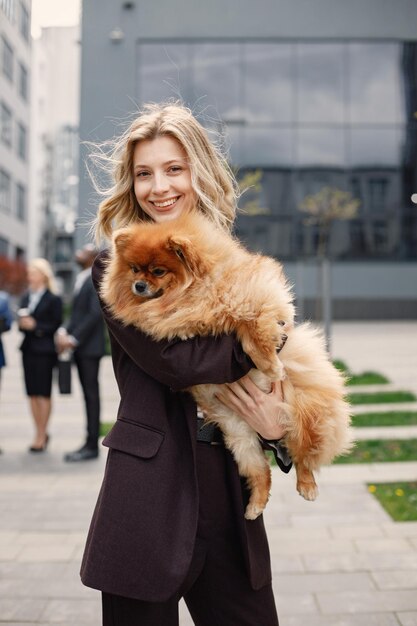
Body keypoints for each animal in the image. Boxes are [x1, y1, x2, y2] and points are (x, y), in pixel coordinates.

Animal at [100, 210, 352, 516]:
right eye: (135, 269)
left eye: (158, 271)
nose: (138, 285)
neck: (195, 288)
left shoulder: (253, 301)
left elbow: (252, 332)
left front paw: (270, 365)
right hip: (239, 438)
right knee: (262, 472)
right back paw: (254, 506)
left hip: (304, 415)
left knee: (303, 456)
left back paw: (307, 486)